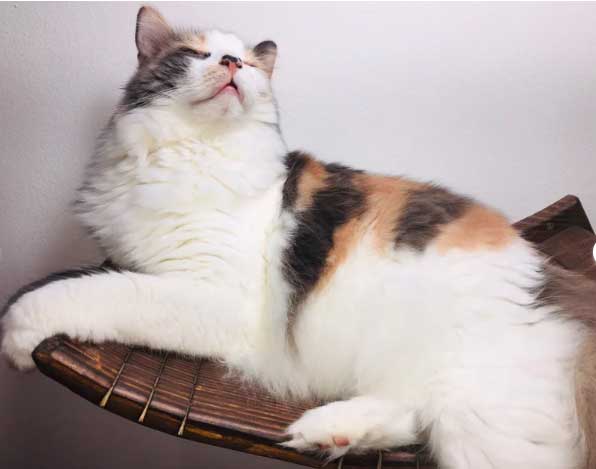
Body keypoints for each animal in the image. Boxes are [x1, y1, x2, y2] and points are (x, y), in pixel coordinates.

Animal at [1, 6, 596, 468]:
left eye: (244, 61)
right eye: (195, 55)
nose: (231, 63)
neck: (195, 149)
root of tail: (550, 279)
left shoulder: (215, 298)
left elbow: (95, 291)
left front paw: (19, 329)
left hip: (474, 411)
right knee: (409, 410)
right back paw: (329, 430)